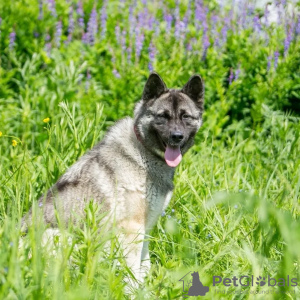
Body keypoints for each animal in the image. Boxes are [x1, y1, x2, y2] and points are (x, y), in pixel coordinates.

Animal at [22, 72, 204, 284]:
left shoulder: (145, 228)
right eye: (163, 116)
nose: (177, 136)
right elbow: (133, 270)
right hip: (63, 236)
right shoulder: (131, 229)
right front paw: (134, 289)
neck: (144, 153)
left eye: (185, 117)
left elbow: (144, 265)